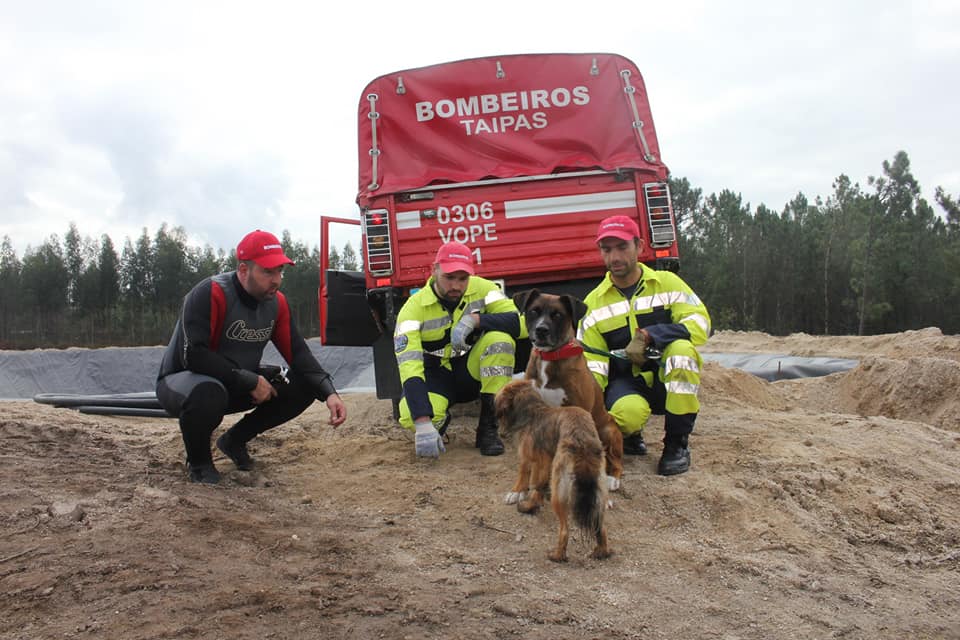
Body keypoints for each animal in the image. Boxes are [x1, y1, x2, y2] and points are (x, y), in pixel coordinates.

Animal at [498, 378, 612, 564]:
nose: (501, 434)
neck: (534, 411)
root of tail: (582, 442)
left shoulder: (535, 460)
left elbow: (533, 483)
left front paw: (527, 504)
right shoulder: (544, 462)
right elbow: (537, 487)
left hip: (559, 490)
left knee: (565, 530)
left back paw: (557, 555)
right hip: (599, 490)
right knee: (600, 526)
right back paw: (601, 551)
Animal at [512, 288, 628, 492]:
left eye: (558, 314)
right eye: (534, 311)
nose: (541, 330)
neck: (549, 357)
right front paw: (519, 489)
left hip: (609, 431)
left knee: (615, 460)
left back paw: (612, 478)